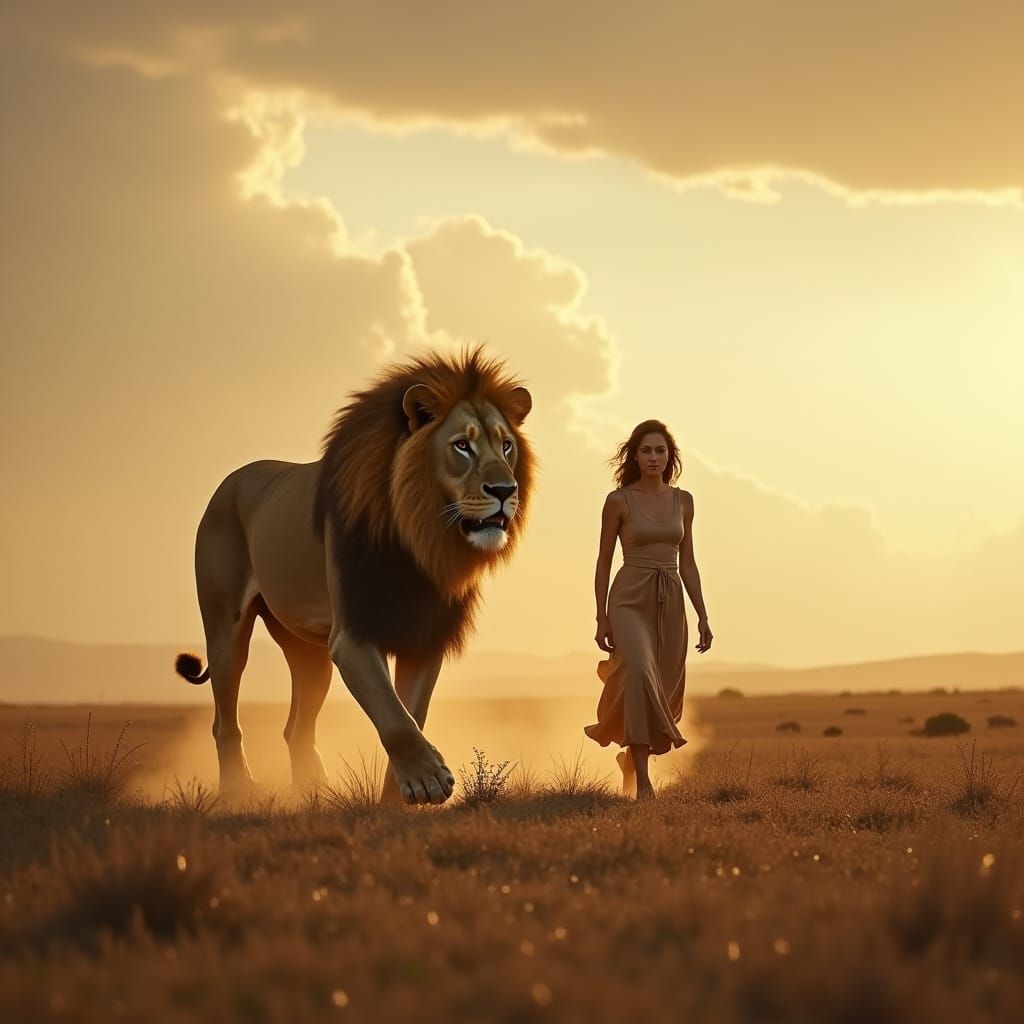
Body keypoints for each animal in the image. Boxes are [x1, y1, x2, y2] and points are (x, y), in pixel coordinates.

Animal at [175, 347, 534, 804]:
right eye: (462, 446)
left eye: (507, 446)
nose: (505, 491)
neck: (420, 537)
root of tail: (229, 481)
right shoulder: (352, 636)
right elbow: (394, 716)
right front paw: (428, 780)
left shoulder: (424, 635)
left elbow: (411, 712)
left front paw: (397, 801)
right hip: (225, 629)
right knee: (225, 721)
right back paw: (238, 791)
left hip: (306, 651)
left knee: (296, 727)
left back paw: (311, 795)